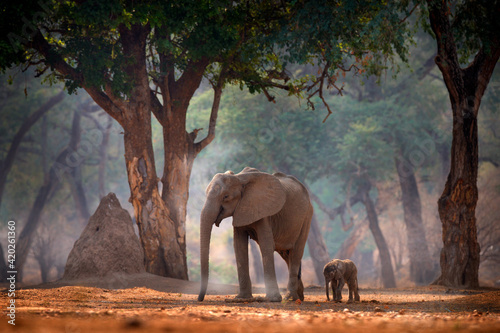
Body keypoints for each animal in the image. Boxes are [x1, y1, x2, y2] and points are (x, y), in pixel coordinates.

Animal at [196, 166, 310, 300]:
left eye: (226, 196)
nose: (200, 299)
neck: (239, 178)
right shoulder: (240, 211)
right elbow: (239, 245)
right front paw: (241, 298)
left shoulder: (264, 211)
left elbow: (266, 244)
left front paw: (273, 300)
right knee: (287, 255)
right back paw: (299, 296)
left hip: (307, 216)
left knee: (296, 252)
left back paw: (290, 298)